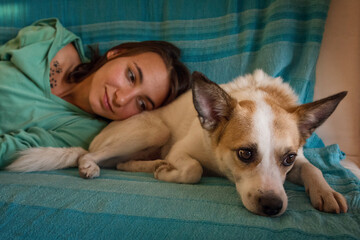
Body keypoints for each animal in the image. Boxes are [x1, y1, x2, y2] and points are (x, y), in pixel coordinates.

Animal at [7, 70, 348, 218]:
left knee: (120, 163)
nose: (273, 207)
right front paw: (170, 173)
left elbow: (313, 168)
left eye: (287, 159)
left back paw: (147, 165)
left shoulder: (299, 158)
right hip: (153, 130)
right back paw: (94, 166)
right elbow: (193, 170)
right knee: (88, 155)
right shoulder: (182, 150)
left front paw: (326, 192)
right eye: (245, 153)